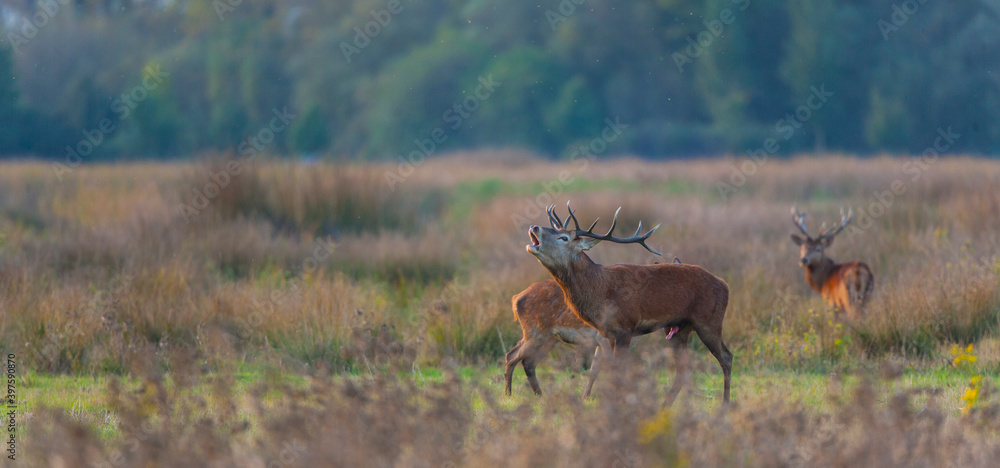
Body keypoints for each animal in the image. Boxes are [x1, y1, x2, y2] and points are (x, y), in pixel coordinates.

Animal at [504, 257, 683, 398]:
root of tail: (516, 298)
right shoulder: (604, 338)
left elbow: (593, 370)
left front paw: (586, 397)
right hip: (535, 332)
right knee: (512, 355)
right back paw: (508, 395)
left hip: (550, 338)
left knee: (528, 361)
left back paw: (539, 395)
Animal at [526, 202, 732, 403]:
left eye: (564, 238)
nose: (534, 226)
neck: (599, 292)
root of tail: (725, 285)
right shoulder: (607, 334)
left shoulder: (625, 327)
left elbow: (620, 370)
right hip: (679, 329)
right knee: (685, 368)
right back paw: (665, 405)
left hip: (709, 321)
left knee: (726, 357)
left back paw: (725, 403)